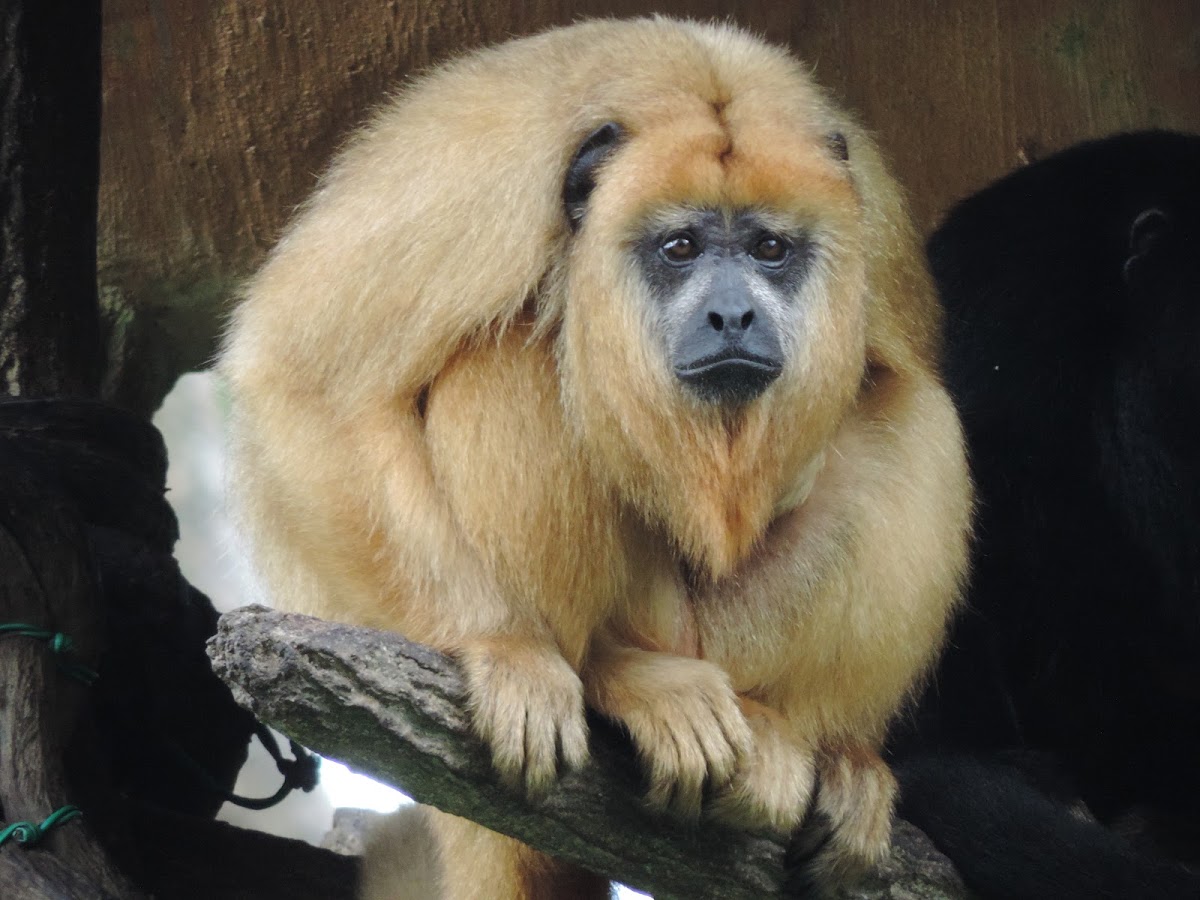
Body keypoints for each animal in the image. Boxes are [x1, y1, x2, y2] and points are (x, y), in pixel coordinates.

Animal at [223, 15, 974, 900]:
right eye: (680, 247)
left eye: (769, 248)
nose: (732, 315)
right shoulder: (478, 171)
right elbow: (305, 382)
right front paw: (501, 644)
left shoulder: (875, 220)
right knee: (507, 356)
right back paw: (618, 670)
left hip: (727, 644)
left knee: (917, 414)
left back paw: (813, 742)